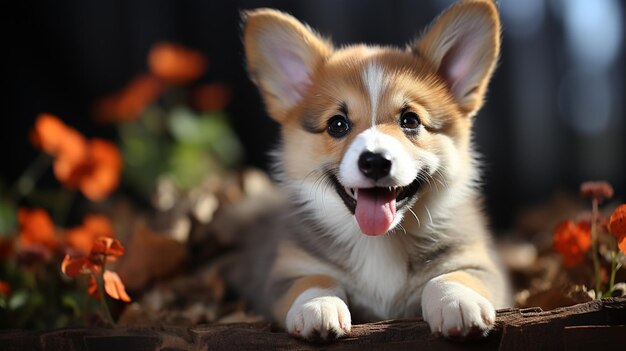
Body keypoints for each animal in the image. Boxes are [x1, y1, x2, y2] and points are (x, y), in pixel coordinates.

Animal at [236, 0, 510, 340]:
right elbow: (314, 281)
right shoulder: (287, 271)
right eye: (337, 124)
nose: (376, 161)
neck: (379, 242)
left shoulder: (475, 259)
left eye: (410, 120)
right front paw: (319, 306)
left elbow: (454, 276)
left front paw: (457, 302)